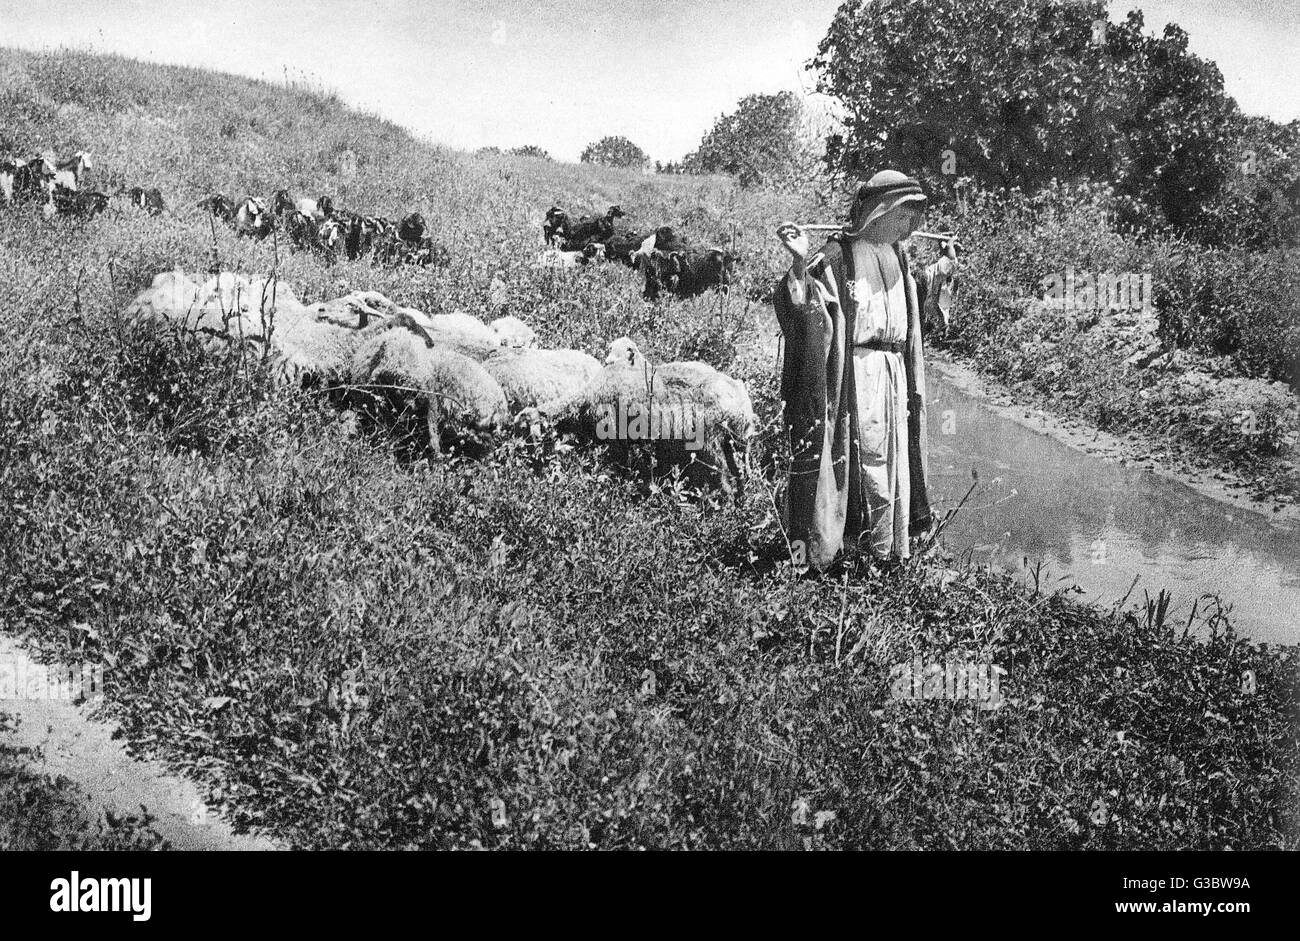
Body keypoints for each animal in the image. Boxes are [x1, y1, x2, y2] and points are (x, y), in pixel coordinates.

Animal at [517, 340, 759, 499]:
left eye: (526, 431)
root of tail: (743, 404)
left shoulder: (615, 437)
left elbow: (619, 467)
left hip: (711, 446)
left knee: (725, 482)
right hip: (734, 446)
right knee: (739, 477)